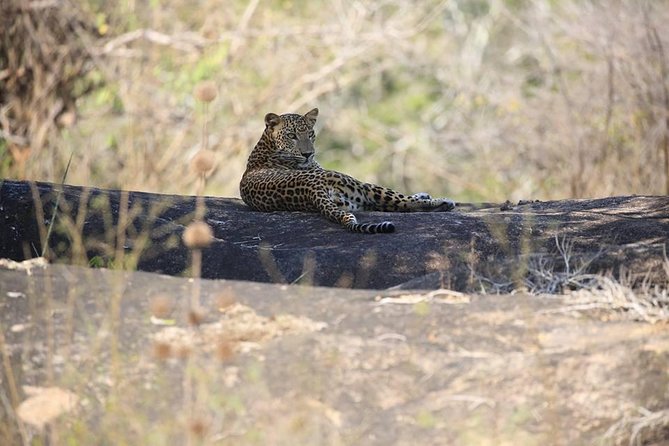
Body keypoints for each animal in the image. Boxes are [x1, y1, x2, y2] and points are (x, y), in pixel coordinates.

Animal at [239, 108, 455, 233]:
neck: (266, 145)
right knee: (403, 203)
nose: (308, 154)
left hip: (354, 201)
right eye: (291, 135)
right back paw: (443, 202)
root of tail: (311, 191)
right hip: (360, 185)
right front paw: (427, 196)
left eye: (311, 134)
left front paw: (423, 193)